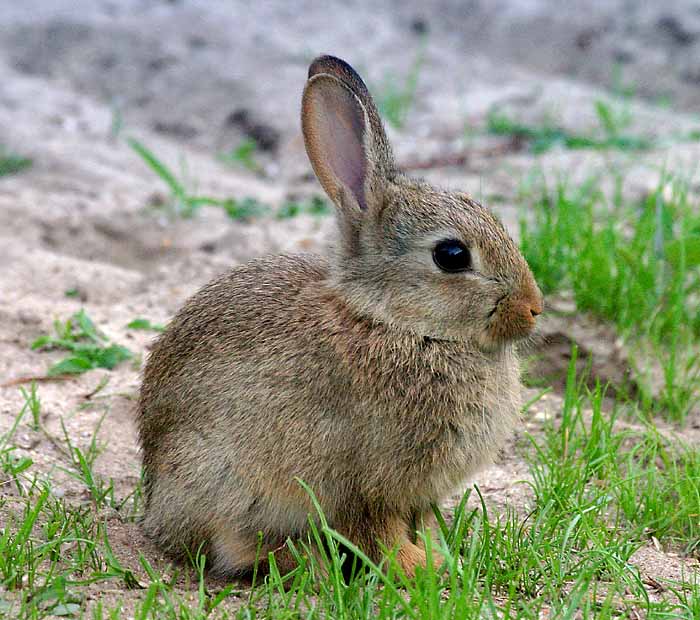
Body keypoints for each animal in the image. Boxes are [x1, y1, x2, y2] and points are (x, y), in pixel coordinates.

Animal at [135, 55, 540, 580]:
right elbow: (379, 534)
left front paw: (440, 554)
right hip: (222, 478)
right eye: (452, 255)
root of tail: (154, 508)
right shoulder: (368, 484)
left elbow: (419, 523)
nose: (533, 309)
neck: (399, 324)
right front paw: (425, 568)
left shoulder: (414, 495)